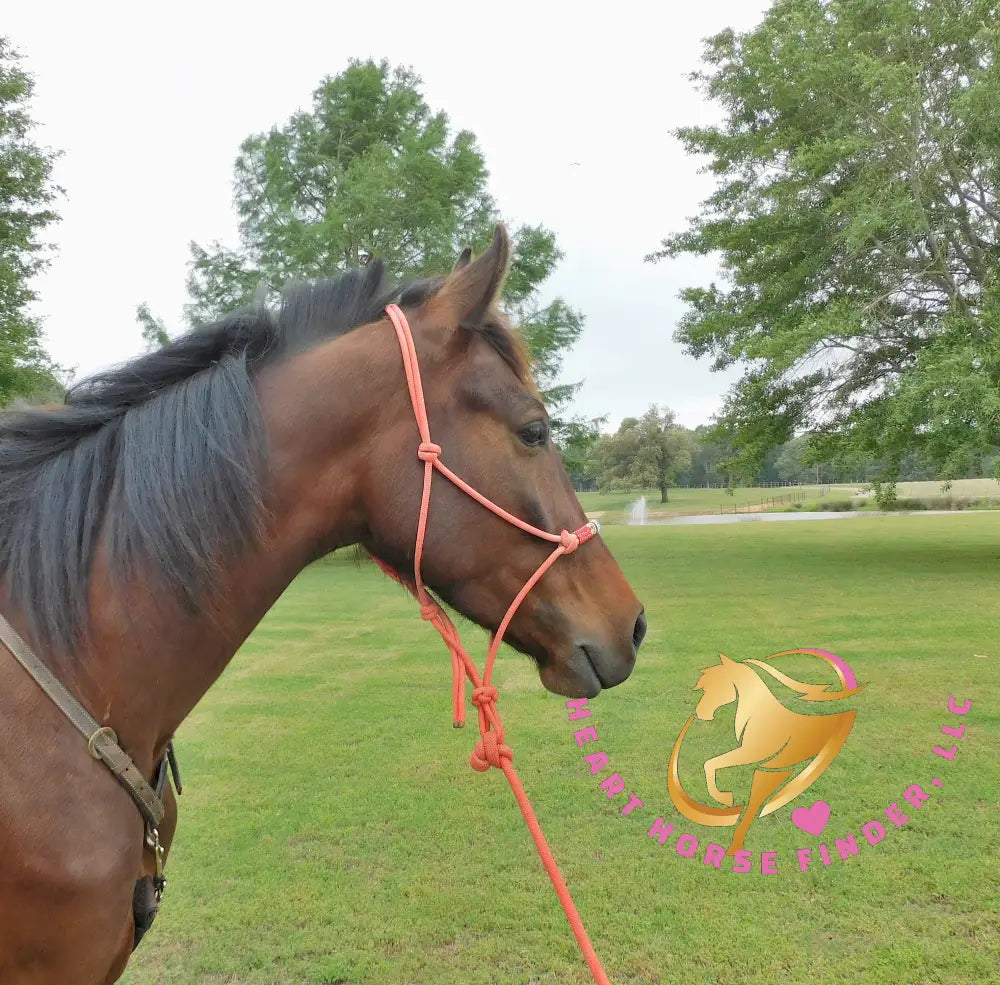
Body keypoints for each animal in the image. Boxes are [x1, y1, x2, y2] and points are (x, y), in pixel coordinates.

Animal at [670, 653, 862, 854]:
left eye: (714, 685)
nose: (700, 713)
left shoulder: (752, 754)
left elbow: (711, 763)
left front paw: (724, 797)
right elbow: (711, 763)